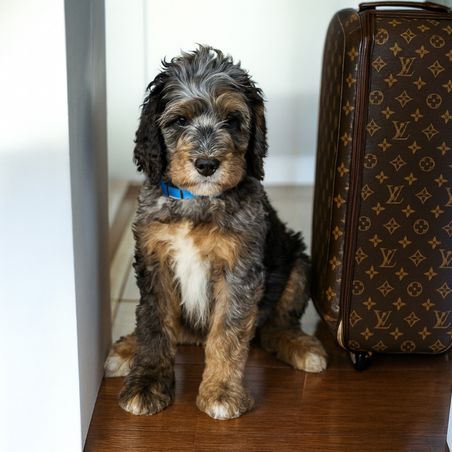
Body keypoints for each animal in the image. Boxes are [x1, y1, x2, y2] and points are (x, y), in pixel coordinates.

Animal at [105, 45, 327, 420]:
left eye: (233, 120)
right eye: (180, 121)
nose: (207, 165)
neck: (197, 201)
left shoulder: (240, 269)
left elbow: (228, 332)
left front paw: (222, 392)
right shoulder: (153, 262)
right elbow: (153, 323)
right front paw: (147, 383)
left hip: (297, 260)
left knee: (275, 325)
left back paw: (301, 346)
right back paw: (125, 349)